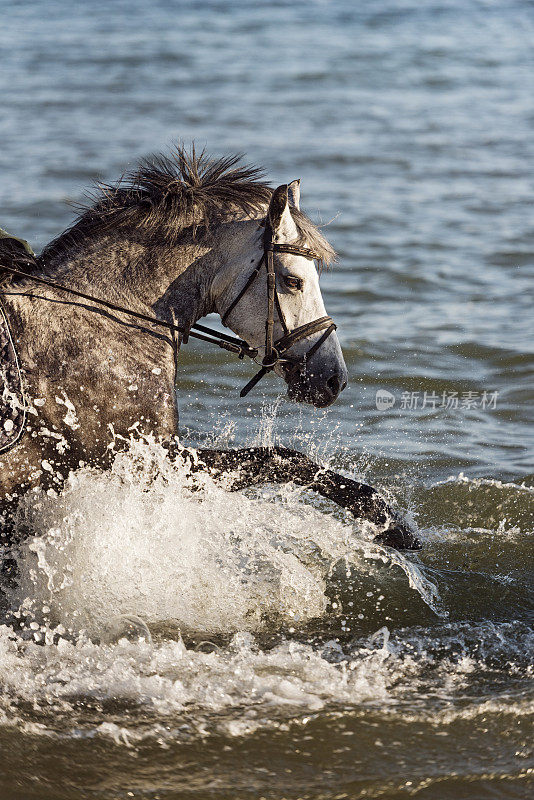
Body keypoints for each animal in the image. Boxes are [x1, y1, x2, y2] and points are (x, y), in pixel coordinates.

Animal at [0, 147, 420, 552]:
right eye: (293, 281)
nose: (335, 379)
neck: (99, 322)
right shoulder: (148, 464)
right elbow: (280, 457)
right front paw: (389, 521)